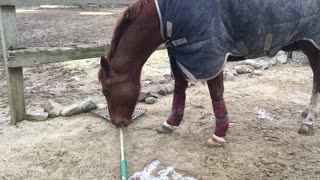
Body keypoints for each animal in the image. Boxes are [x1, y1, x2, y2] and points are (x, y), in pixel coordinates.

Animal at [99, 0, 320, 146]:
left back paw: (308, 121)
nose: (118, 123)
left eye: (106, 90)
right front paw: (170, 123)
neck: (167, 13)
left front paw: (219, 134)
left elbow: (216, 93)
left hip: (313, 46)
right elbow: (180, 88)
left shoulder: (210, 53)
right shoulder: (182, 52)